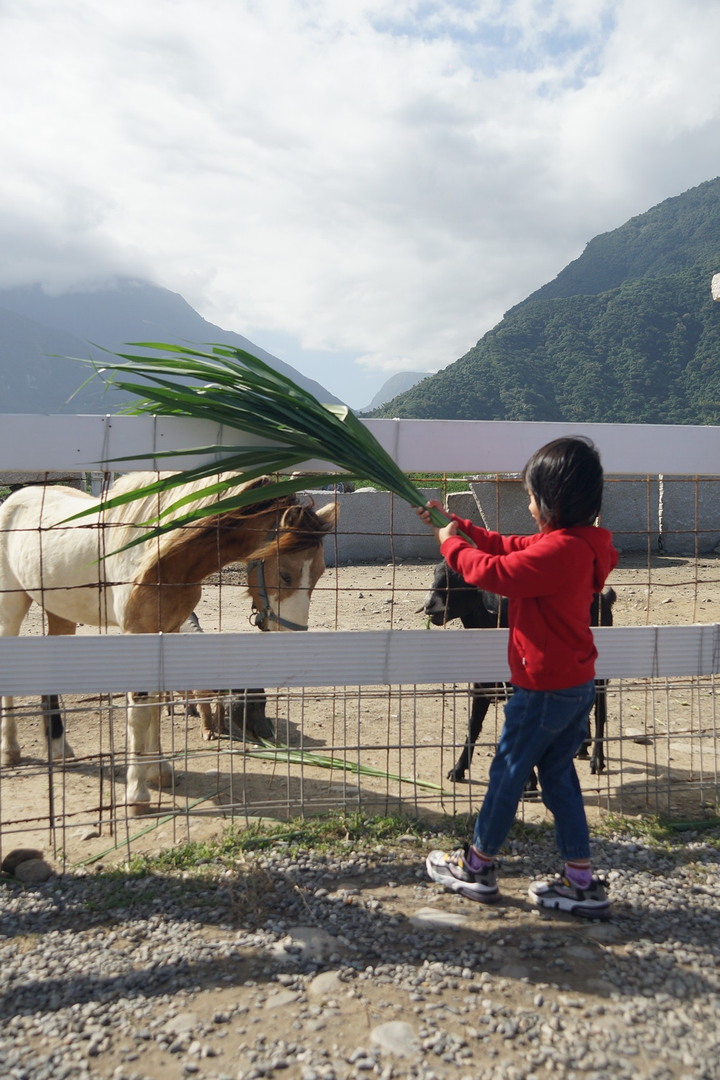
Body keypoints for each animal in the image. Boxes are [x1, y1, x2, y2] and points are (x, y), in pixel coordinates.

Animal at [0, 470, 338, 812]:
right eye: (285, 575)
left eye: (319, 573)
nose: (293, 638)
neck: (161, 560)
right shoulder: (138, 633)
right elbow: (139, 711)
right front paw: (137, 795)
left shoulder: (168, 630)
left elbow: (158, 704)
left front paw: (159, 772)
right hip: (12, 609)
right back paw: (11, 750)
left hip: (61, 613)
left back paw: (58, 748)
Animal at [425, 557, 617, 786]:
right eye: (435, 574)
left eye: (459, 579)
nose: (429, 605)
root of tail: (604, 598)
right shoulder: (482, 687)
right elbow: (474, 725)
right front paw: (458, 769)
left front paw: (529, 782)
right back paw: (581, 747)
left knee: (599, 710)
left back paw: (597, 760)